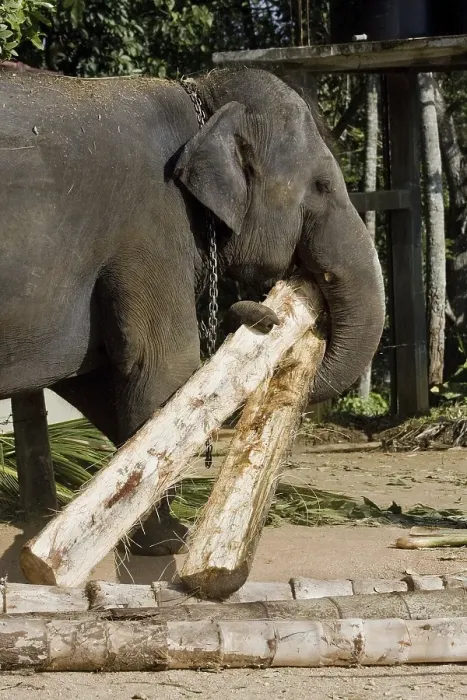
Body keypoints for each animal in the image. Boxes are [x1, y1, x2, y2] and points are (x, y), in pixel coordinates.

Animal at [0, 65, 385, 554]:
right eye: (322, 185)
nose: (263, 313)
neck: (199, 97)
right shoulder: (153, 225)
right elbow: (161, 371)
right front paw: (169, 543)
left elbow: (99, 381)